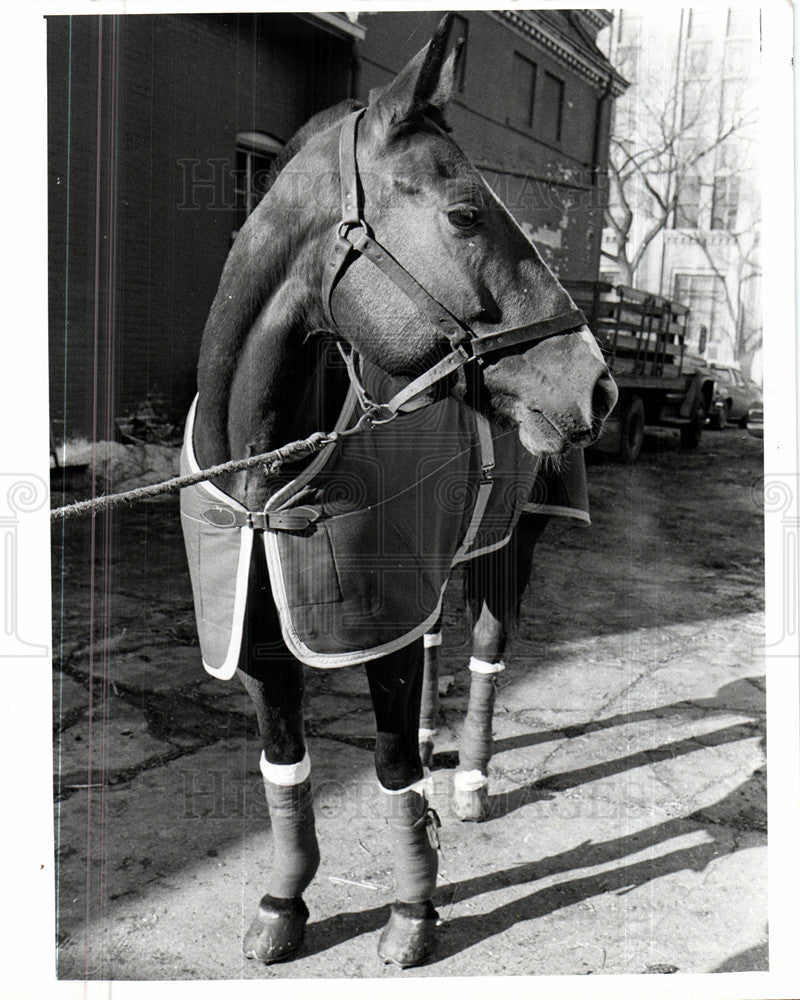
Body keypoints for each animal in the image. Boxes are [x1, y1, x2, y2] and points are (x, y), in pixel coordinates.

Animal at [183, 17, 620, 968]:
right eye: (464, 214)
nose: (598, 385)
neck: (267, 475)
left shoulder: (373, 622)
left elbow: (391, 773)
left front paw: (412, 913)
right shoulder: (264, 641)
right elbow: (286, 768)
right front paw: (283, 903)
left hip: (509, 545)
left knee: (487, 650)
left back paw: (474, 781)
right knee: (432, 645)